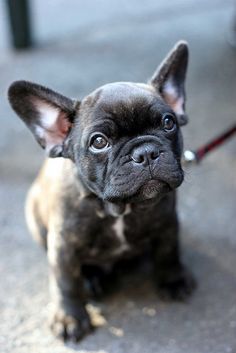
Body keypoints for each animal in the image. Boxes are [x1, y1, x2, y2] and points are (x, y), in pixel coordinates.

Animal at [7, 41, 195, 340]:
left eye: (169, 123)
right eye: (99, 142)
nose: (146, 152)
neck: (119, 208)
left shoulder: (167, 223)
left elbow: (169, 252)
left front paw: (173, 279)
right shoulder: (63, 247)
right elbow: (65, 281)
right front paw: (70, 317)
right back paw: (91, 280)